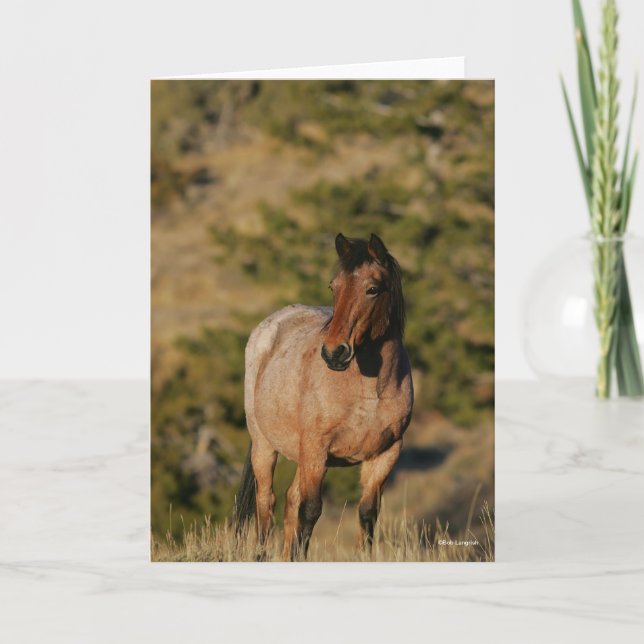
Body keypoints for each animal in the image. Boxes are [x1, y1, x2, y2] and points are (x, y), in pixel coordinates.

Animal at [235, 232, 413, 560]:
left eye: (372, 289)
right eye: (334, 286)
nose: (334, 352)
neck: (369, 392)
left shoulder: (385, 453)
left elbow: (367, 514)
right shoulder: (317, 448)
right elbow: (310, 511)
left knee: (290, 501)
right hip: (265, 445)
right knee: (266, 504)